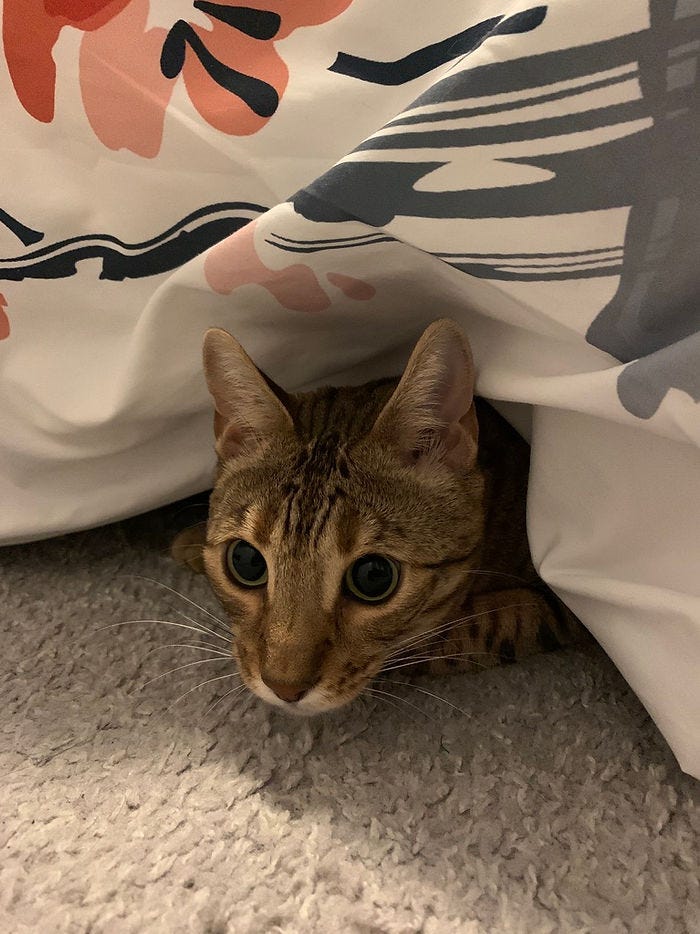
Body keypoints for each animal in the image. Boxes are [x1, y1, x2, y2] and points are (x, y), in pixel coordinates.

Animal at [172, 322, 588, 716]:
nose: (284, 688)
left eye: (374, 577)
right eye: (246, 561)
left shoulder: (560, 607)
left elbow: (469, 628)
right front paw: (191, 540)